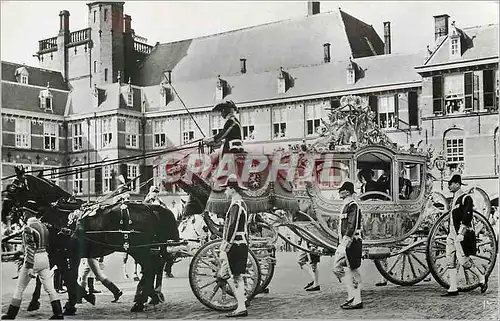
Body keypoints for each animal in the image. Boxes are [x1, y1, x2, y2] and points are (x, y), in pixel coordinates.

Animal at [2, 166, 180, 314]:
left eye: (13, 186)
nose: (4, 212)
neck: (61, 214)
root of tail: (150, 207)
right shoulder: (64, 254)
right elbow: (63, 275)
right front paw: (71, 300)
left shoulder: (59, 253)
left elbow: (66, 276)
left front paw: (74, 301)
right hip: (144, 249)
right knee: (153, 268)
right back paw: (150, 296)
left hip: (139, 249)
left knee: (150, 269)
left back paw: (140, 301)